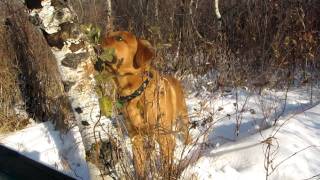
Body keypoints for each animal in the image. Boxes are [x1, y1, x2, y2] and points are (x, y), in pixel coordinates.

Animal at [99, 30, 191, 177]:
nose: (97, 45)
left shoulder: (163, 137)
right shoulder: (135, 138)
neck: (135, 93)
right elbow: (139, 164)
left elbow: (166, 163)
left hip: (183, 116)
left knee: (186, 131)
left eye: (119, 38)